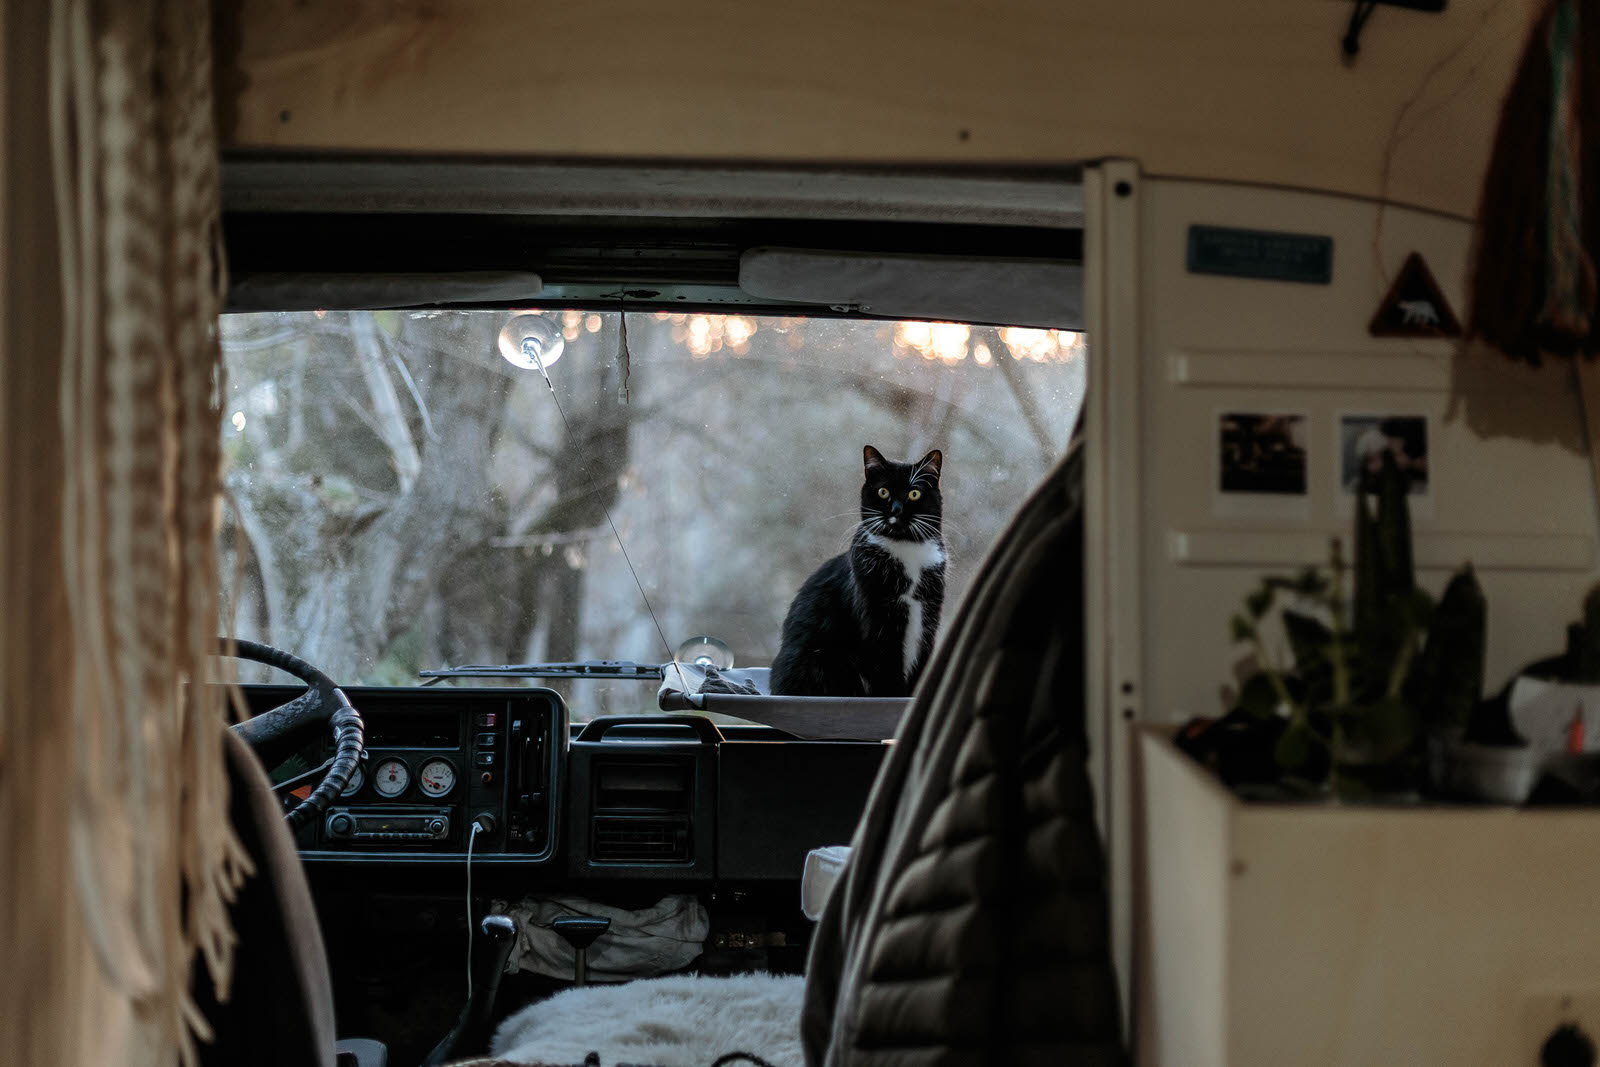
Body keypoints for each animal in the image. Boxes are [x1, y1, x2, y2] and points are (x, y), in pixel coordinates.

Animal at [768, 444, 940, 700]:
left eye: (914, 494)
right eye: (883, 492)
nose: (896, 510)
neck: (906, 548)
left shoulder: (929, 614)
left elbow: (922, 664)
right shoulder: (877, 621)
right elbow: (886, 667)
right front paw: (895, 697)